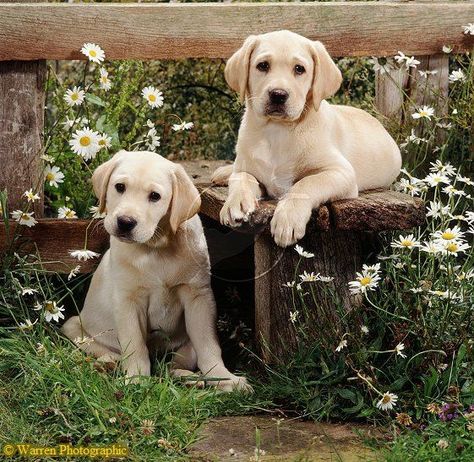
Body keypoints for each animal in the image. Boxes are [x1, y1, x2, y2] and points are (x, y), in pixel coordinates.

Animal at [62, 150, 252, 392]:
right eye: (119, 187)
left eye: (155, 196)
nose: (125, 222)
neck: (156, 246)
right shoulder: (128, 301)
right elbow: (135, 345)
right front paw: (136, 378)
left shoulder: (198, 297)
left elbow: (208, 347)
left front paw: (224, 378)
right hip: (74, 327)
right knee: (99, 347)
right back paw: (109, 361)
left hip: (184, 345)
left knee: (174, 366)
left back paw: (192, 378)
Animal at [213, 30, 402, 247]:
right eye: (262, 65)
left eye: (299, 69)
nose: (278, 94)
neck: (277, 131)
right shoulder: (245, 167)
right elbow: (242, 177)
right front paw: (235, 202)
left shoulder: (341, 173)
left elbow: (306, 183)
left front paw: (288, 218)